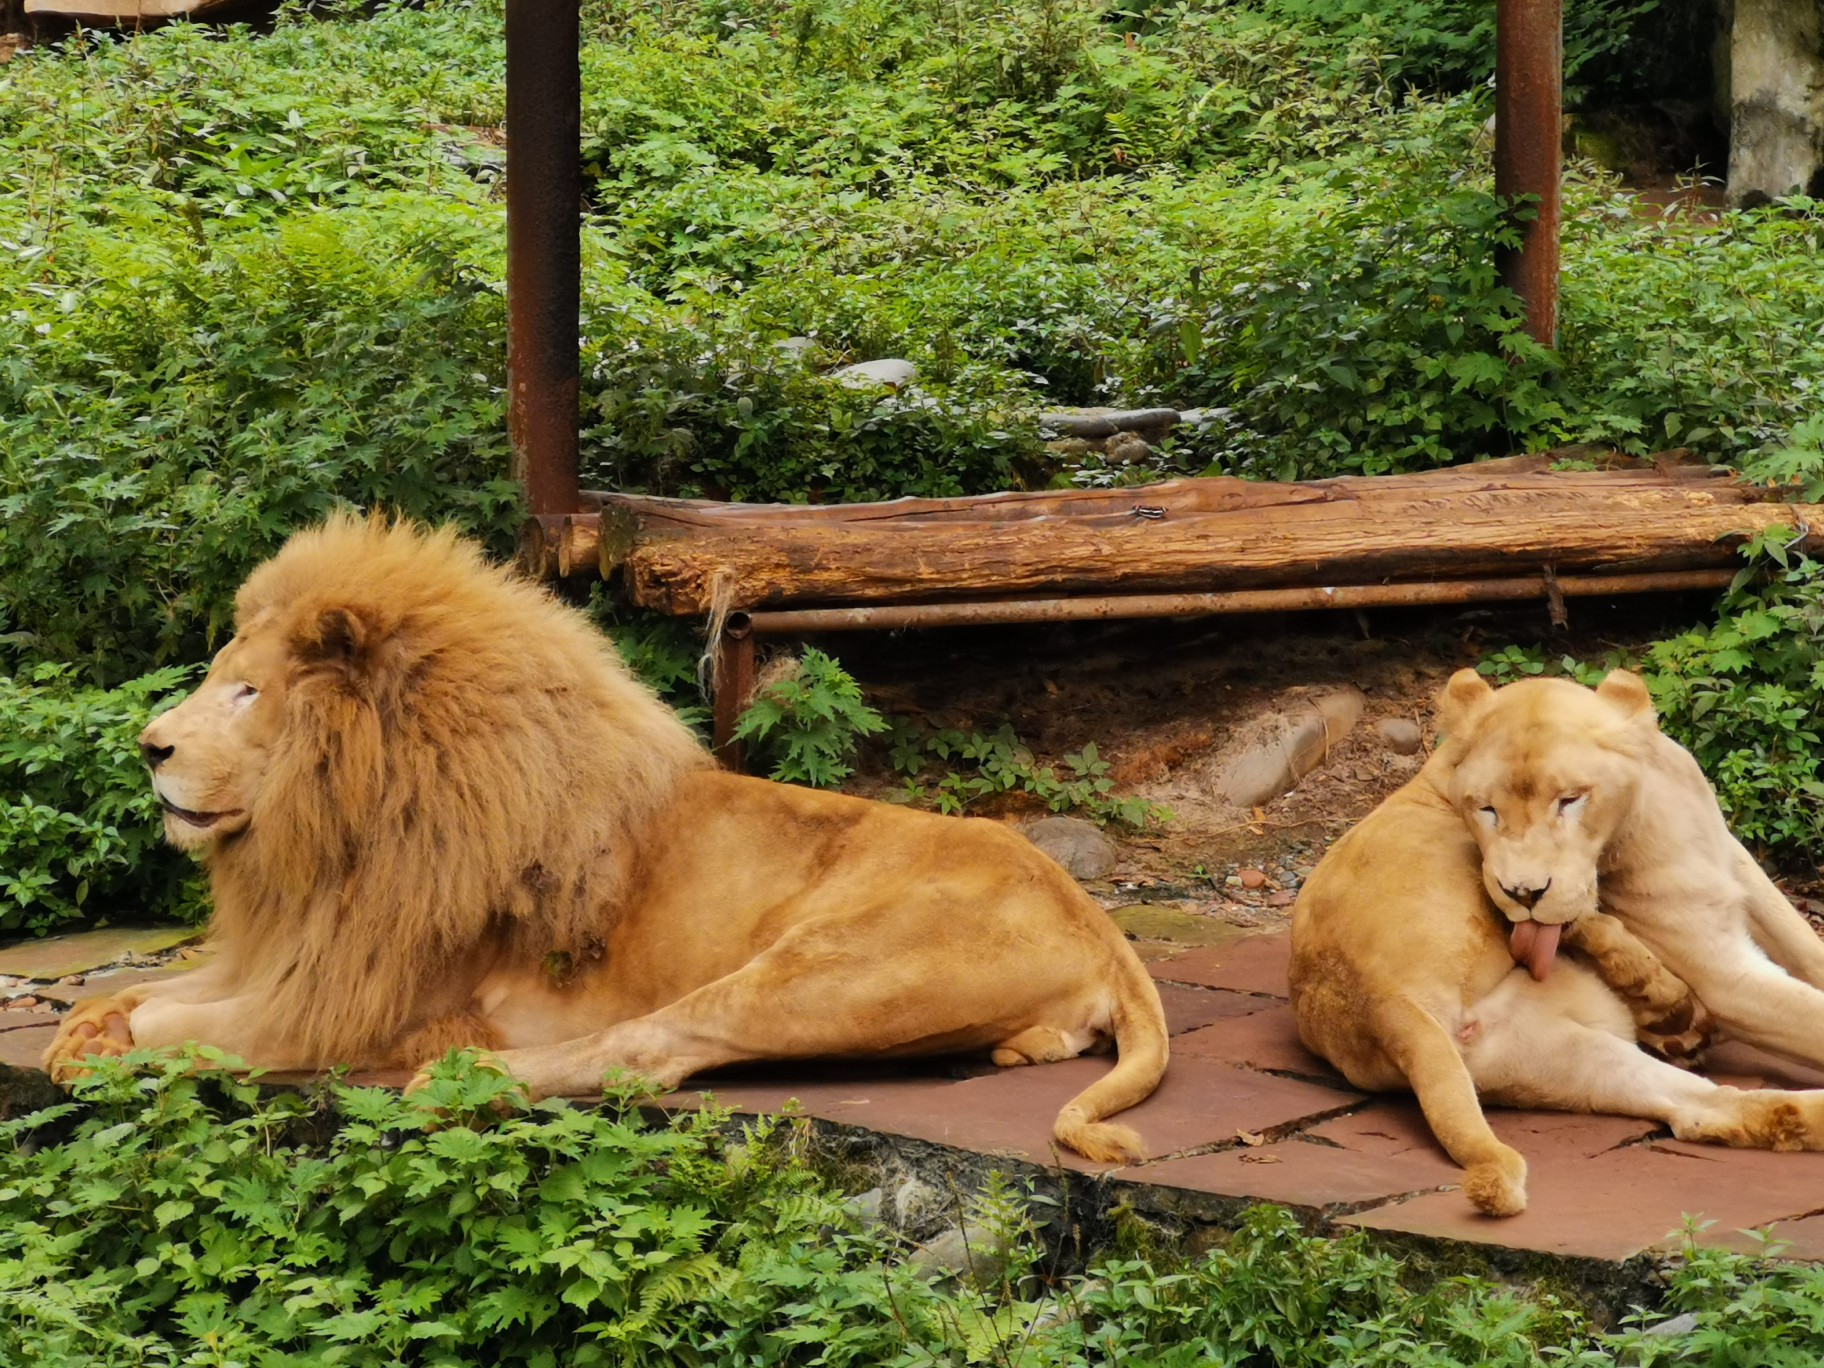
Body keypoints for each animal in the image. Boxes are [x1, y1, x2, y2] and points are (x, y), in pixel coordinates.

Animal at [46, 518, 1167, 1160]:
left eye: (246, 692)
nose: (148, 747)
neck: (329, 830)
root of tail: (1103, 931)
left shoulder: (357, 995)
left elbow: (198, 1023)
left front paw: (106, 1042)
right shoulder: (308, 948)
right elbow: (161, 987)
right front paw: (87, 1023)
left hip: (833, 965)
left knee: (651, 1050)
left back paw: (466, 1072)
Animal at [1291, 671, 1824, 1218]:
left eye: (1570, 800)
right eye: (1486, 809)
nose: (1523, 893)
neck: (1655, 806)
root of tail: (1384, 1004)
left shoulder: (1735, 864)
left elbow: (1805, 946)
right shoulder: (1721, 972)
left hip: (1564, 1058)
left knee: (1702, 1108)